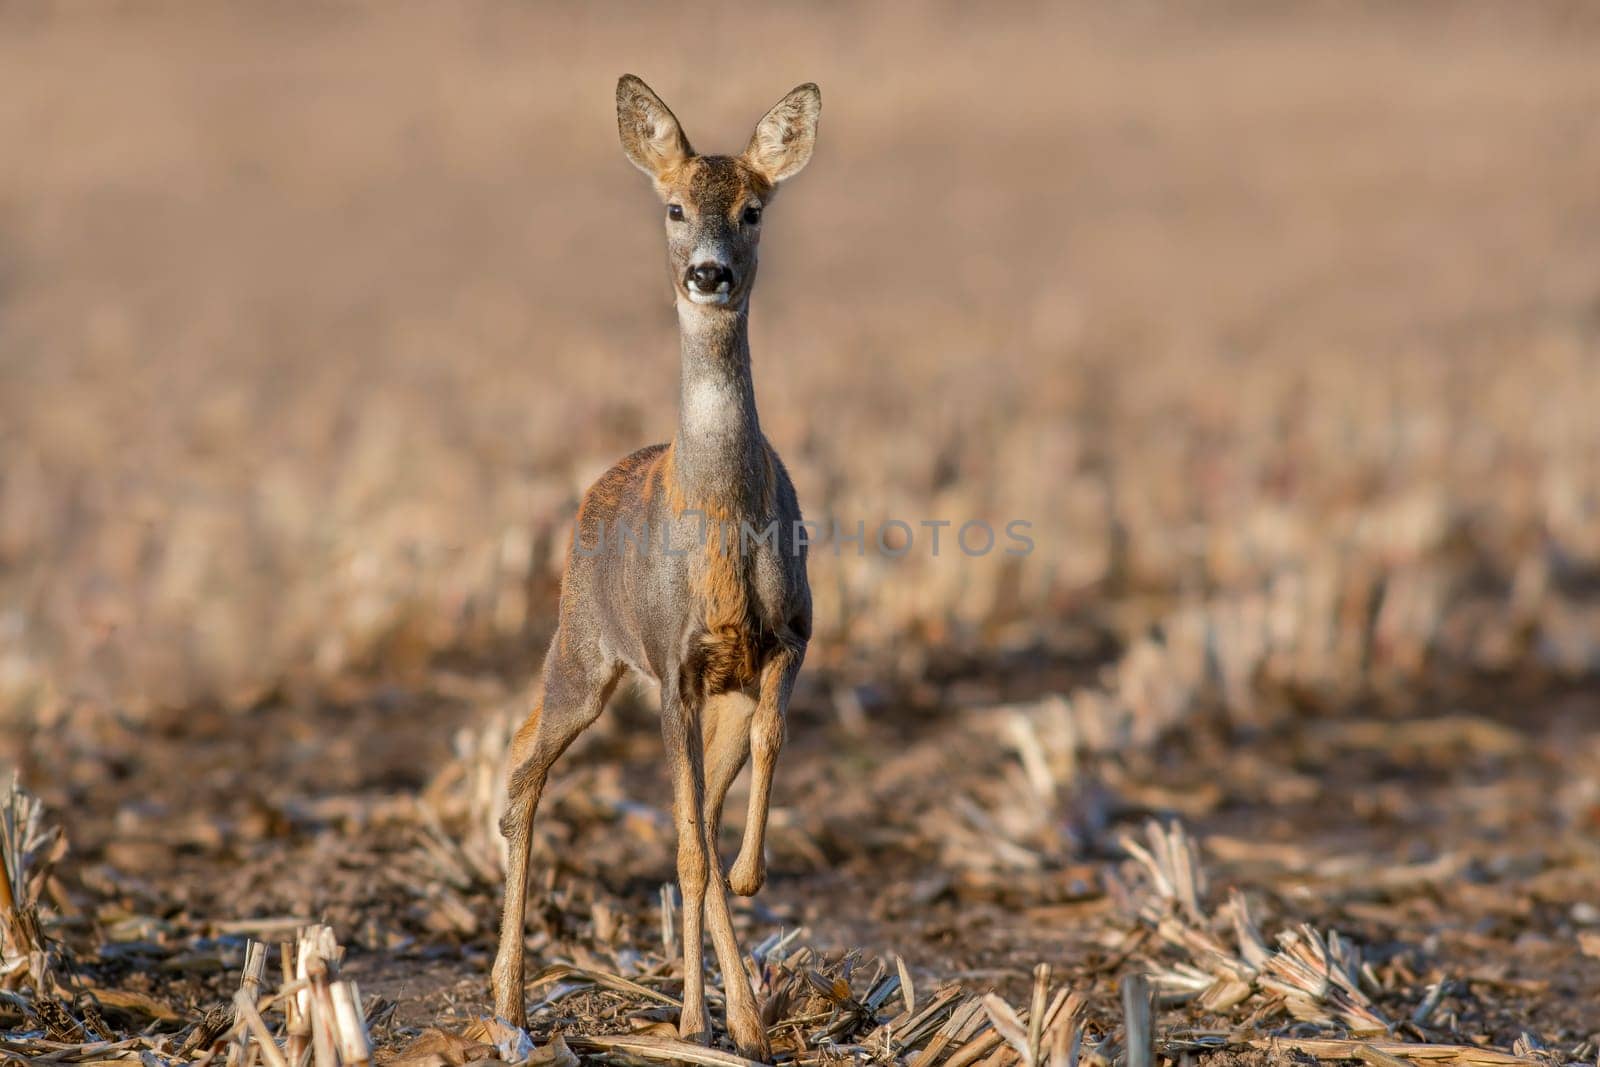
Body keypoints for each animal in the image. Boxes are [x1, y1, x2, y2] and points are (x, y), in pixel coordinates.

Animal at [486, 77, 819, 1062]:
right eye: (672, 207)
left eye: (753, 209)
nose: (708, 274)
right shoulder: (672, 667)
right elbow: (684, 848)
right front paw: (698, 1016)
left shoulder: (787, 641)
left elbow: (753, 769)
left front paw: (751, 884)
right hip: (582, 650)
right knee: (521, 771)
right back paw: (512, 1004)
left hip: (692, 690)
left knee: (696, 812)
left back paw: (729, 1017)